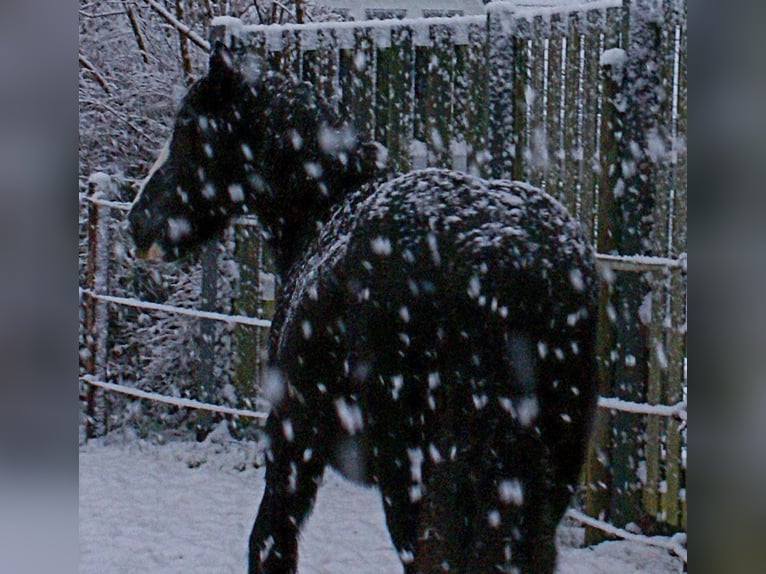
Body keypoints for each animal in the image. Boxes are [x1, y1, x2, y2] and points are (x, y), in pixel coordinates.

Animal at [130, 41, 600, 574]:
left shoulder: (293, 443)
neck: (325, 213)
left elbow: (270, 541)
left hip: (414, 481)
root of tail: (519, 264)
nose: (137, 222)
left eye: (189, 125)